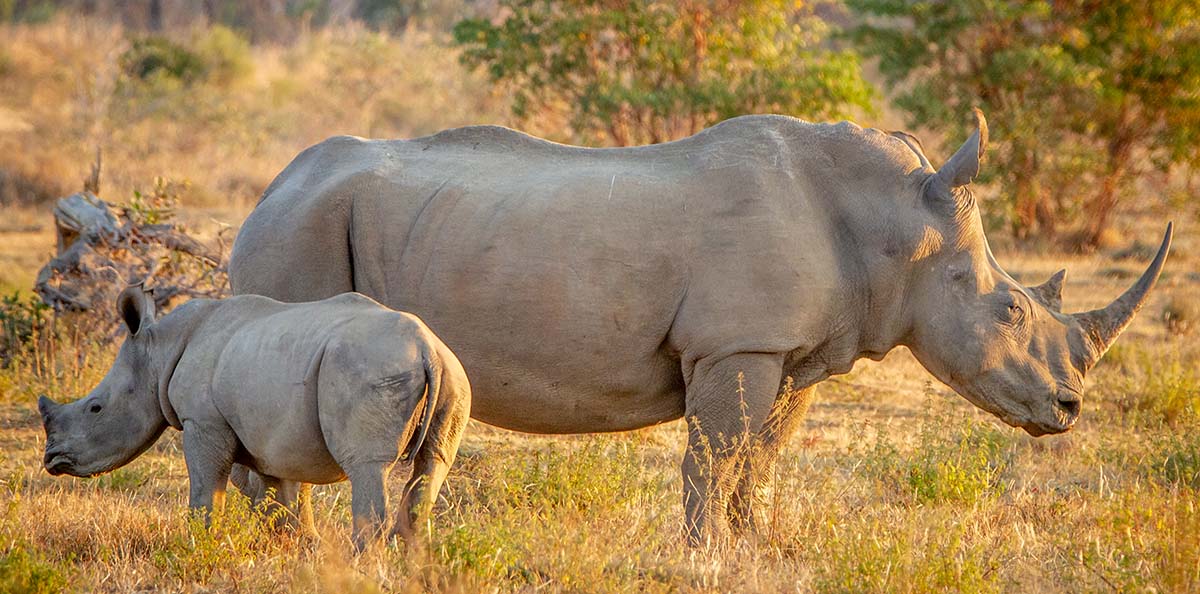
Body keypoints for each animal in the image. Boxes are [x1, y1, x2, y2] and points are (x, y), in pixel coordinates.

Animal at [37, 287, 471, 548]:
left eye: (95, 408)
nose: (52, 460)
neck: (158, 352)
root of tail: (426, 348)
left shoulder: (203, 421)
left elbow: (206, 488)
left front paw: (199, 545)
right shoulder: (270, 436)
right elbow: (279, 499)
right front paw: (298, 548)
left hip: (371, 368)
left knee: (368, 465)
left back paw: (362, 564)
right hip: (454, 376)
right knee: (432, 465)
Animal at [228, 110, 1171, 545]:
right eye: (1009, 309)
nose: (1068, 410)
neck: (896, 223)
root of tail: (271, 186)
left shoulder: (790, 351)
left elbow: (760, 456)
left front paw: (757, 547)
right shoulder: (737, 342)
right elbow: (716, 454)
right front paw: (705, 553)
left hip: (313, 219)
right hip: (300, 228)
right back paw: (290, 548)